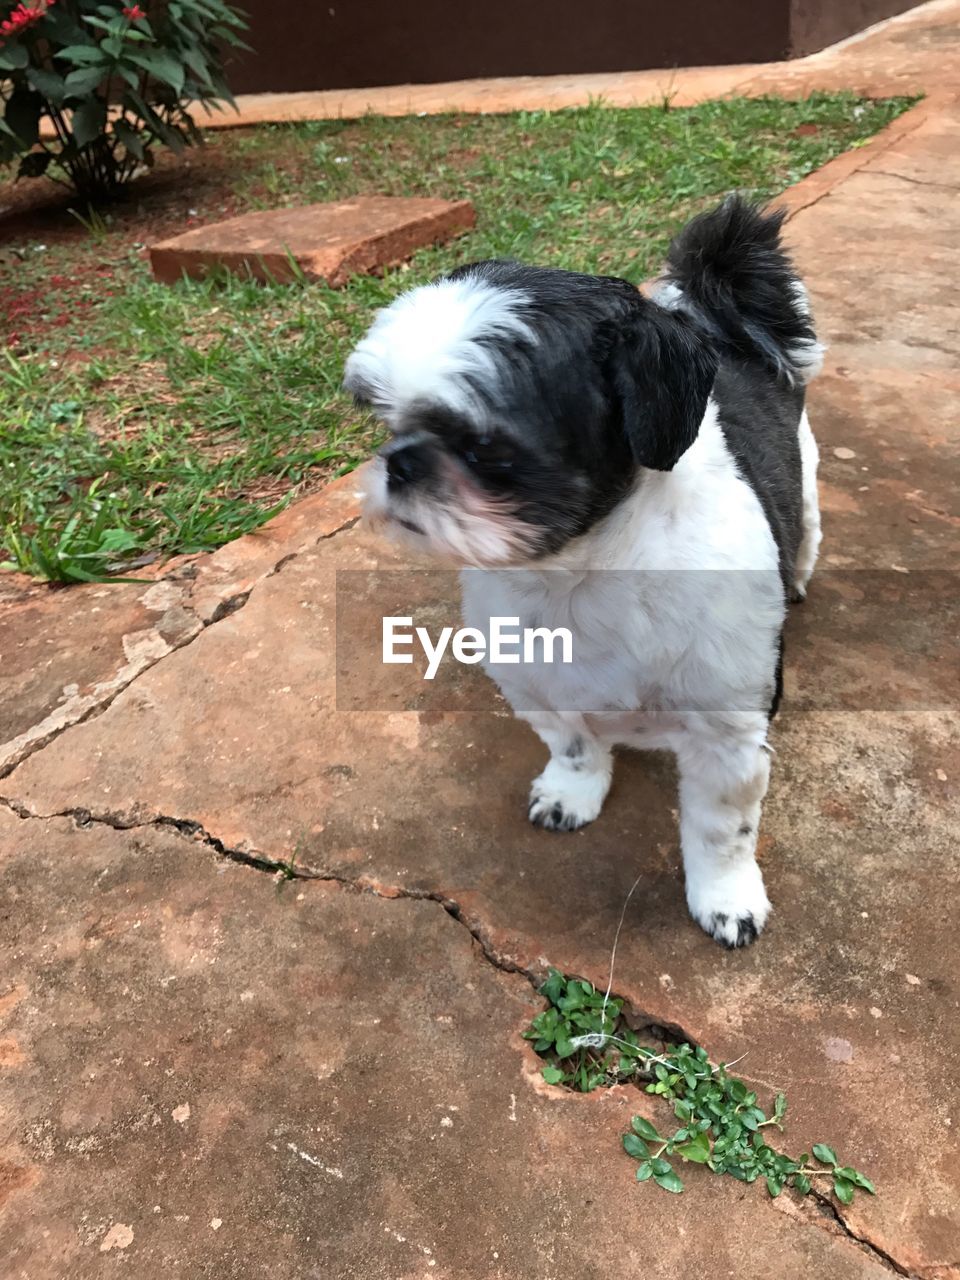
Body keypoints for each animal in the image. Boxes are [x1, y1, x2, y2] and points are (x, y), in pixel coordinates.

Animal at [345, 194, 829, 947]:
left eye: (487, 451)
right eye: (386, 423)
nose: (400, 463)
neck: (580, 575)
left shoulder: (728, 733)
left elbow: (720, 831)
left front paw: (725, 897)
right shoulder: (538, 690)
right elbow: (574, 747)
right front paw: (574, 792)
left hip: (803, 482)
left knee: (805, 530)